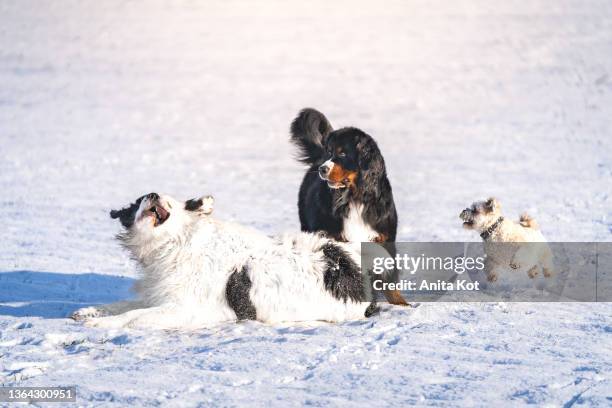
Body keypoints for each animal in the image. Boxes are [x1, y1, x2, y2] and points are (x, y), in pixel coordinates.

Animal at [71, 193, 378, 330]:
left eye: (169, 202)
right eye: (139, 201)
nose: (154, 195)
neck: (176, 242)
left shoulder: (186, 309)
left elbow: (133, 317)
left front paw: (100, 325)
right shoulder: (159, 296)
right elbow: (123, 306)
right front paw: (89, 312)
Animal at [290, 107, 408, 304]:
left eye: (342, 153)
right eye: (330, 152)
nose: (322, 169)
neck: (354, 197)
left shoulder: (384, 238)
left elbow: (390, 278)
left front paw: (400, 304)